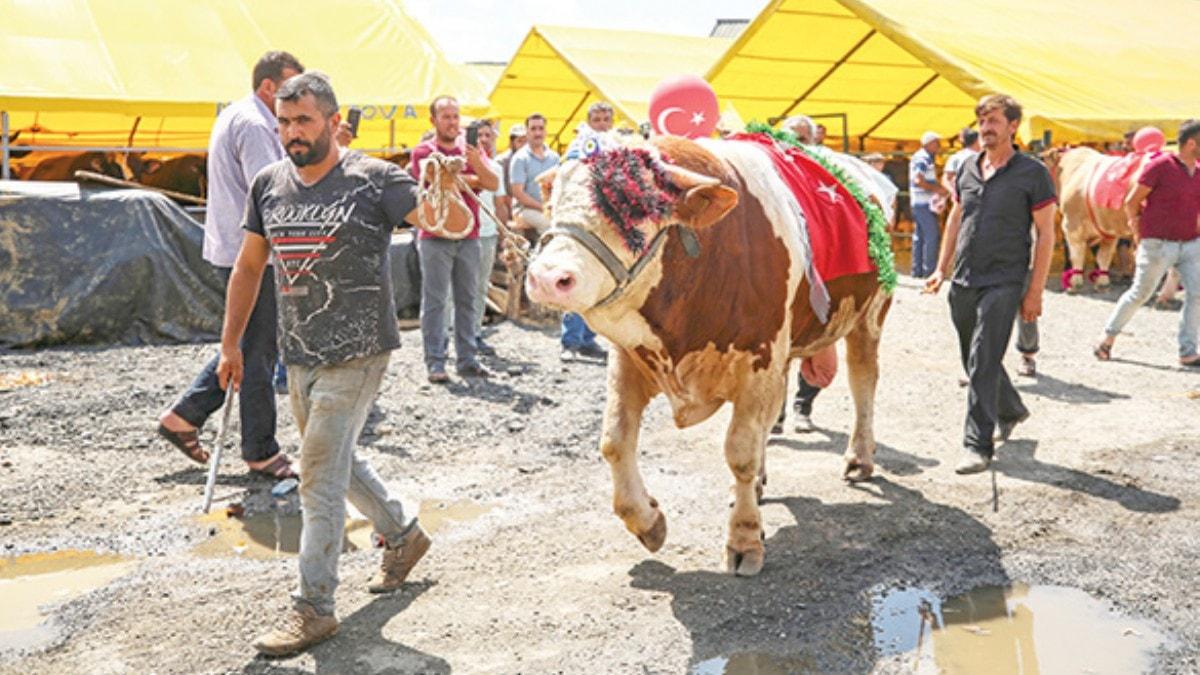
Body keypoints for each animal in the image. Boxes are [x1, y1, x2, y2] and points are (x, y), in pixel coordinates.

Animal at [525, 124, 892, 571]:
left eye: (633, 203)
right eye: (554, 196)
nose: (547, 277)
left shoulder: (759, 358)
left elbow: (740, 451)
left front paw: (745, 540)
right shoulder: (630, 356)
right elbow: (614, 440)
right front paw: (648, 521)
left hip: (869, 316)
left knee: (863, 383)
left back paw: (859, 458)